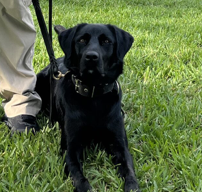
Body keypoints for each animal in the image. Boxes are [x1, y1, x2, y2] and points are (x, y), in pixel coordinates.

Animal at [35, 23, 140, 191]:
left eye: (106, 41)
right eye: (82, 40)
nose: (91, 57)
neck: (94, 96)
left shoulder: (120, 145)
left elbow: (129, 169)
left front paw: (132, 186)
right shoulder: (70, 149)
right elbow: (79, 177)